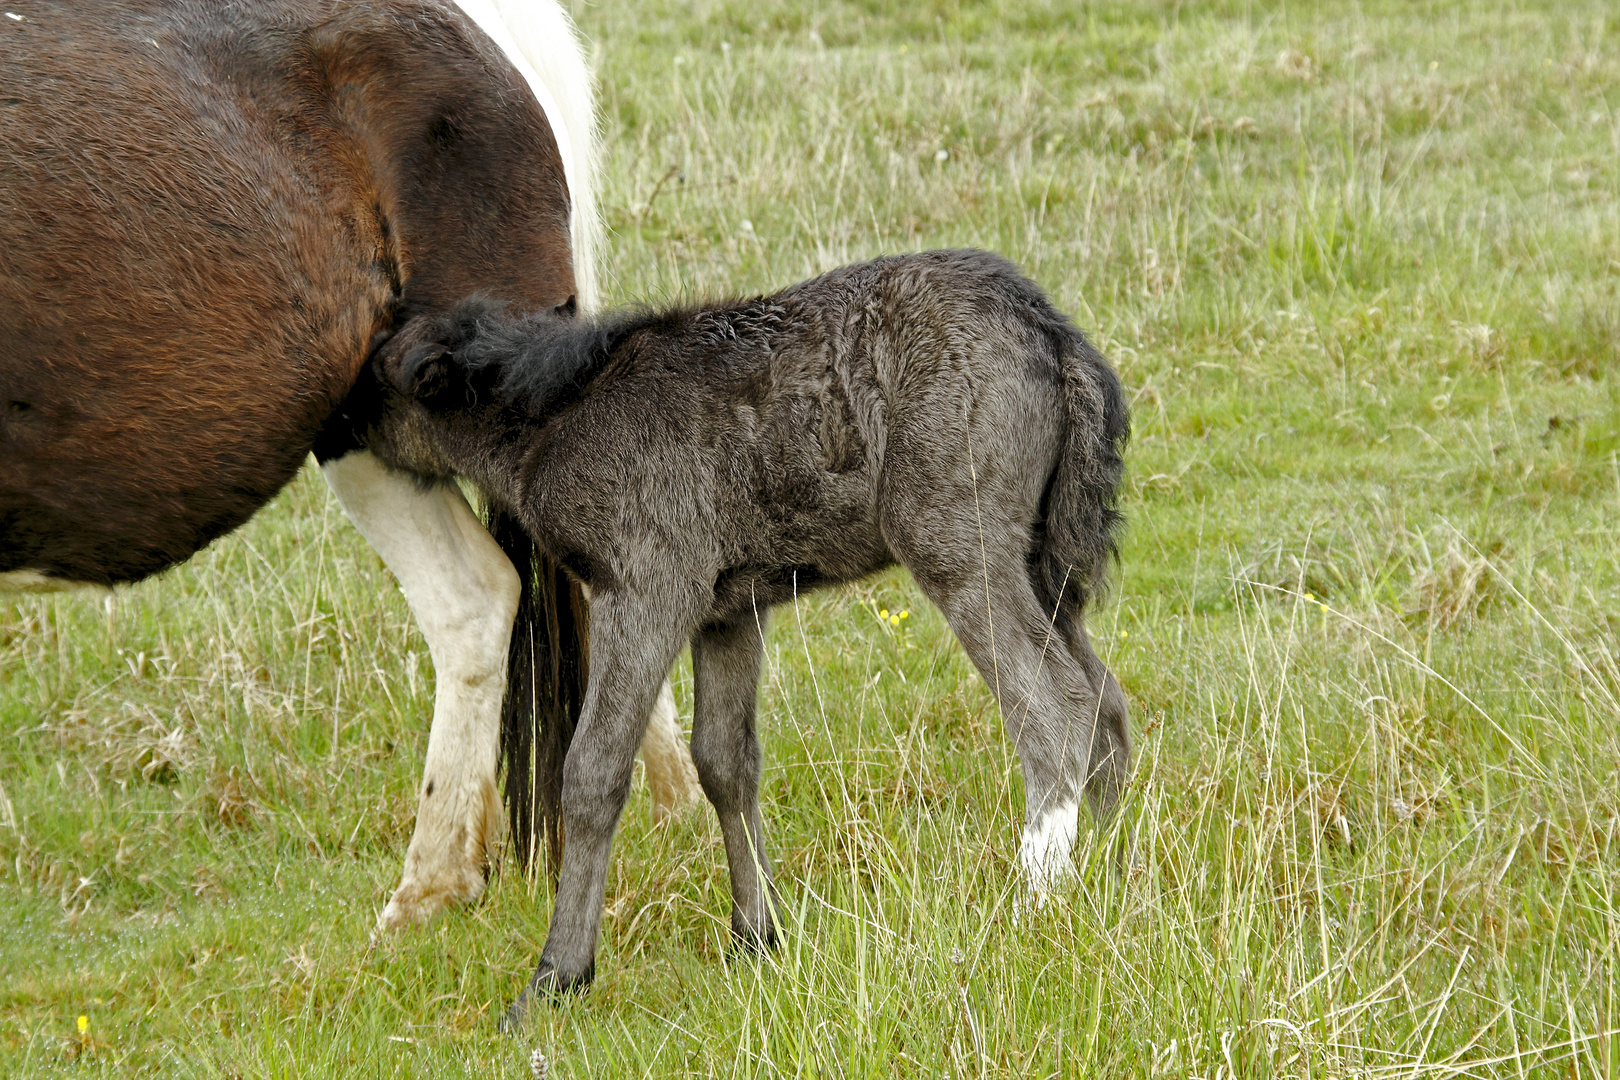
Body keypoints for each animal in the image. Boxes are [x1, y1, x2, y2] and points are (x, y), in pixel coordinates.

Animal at [370, 249, 1127, 1016]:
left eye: (373, 377)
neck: (562, 410)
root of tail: (1051, 331)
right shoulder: (730, 609)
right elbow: (725, 762)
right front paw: (758, 938)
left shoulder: (647, 586)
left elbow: (592, 772)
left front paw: (556, 977)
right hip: (1045, 562)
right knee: (1105, 702)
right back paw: (1107, 876)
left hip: (955, 541)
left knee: (1055, 707)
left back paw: (1035, 902)